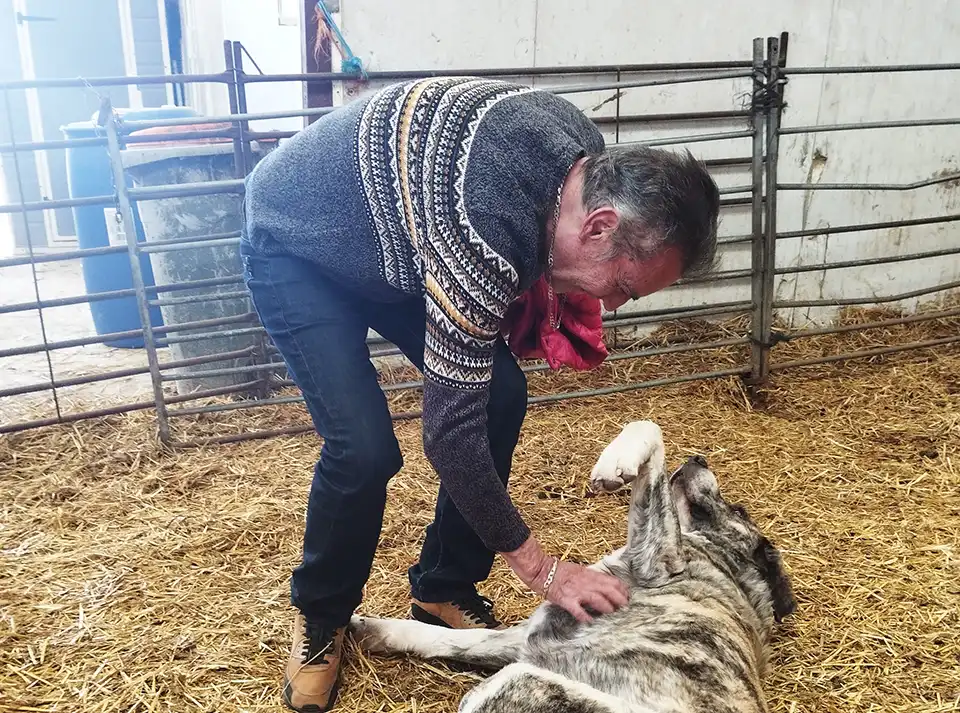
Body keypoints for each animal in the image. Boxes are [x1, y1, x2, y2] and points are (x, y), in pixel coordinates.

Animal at [350, 420, 796, 712]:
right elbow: (445, 636)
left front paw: (616, 461)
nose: (699, 458)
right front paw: (374, 629)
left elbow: (650, 429)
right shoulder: (521, 638)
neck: (724, 568)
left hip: (522, 680)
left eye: (738, 509)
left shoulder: (657, 560)